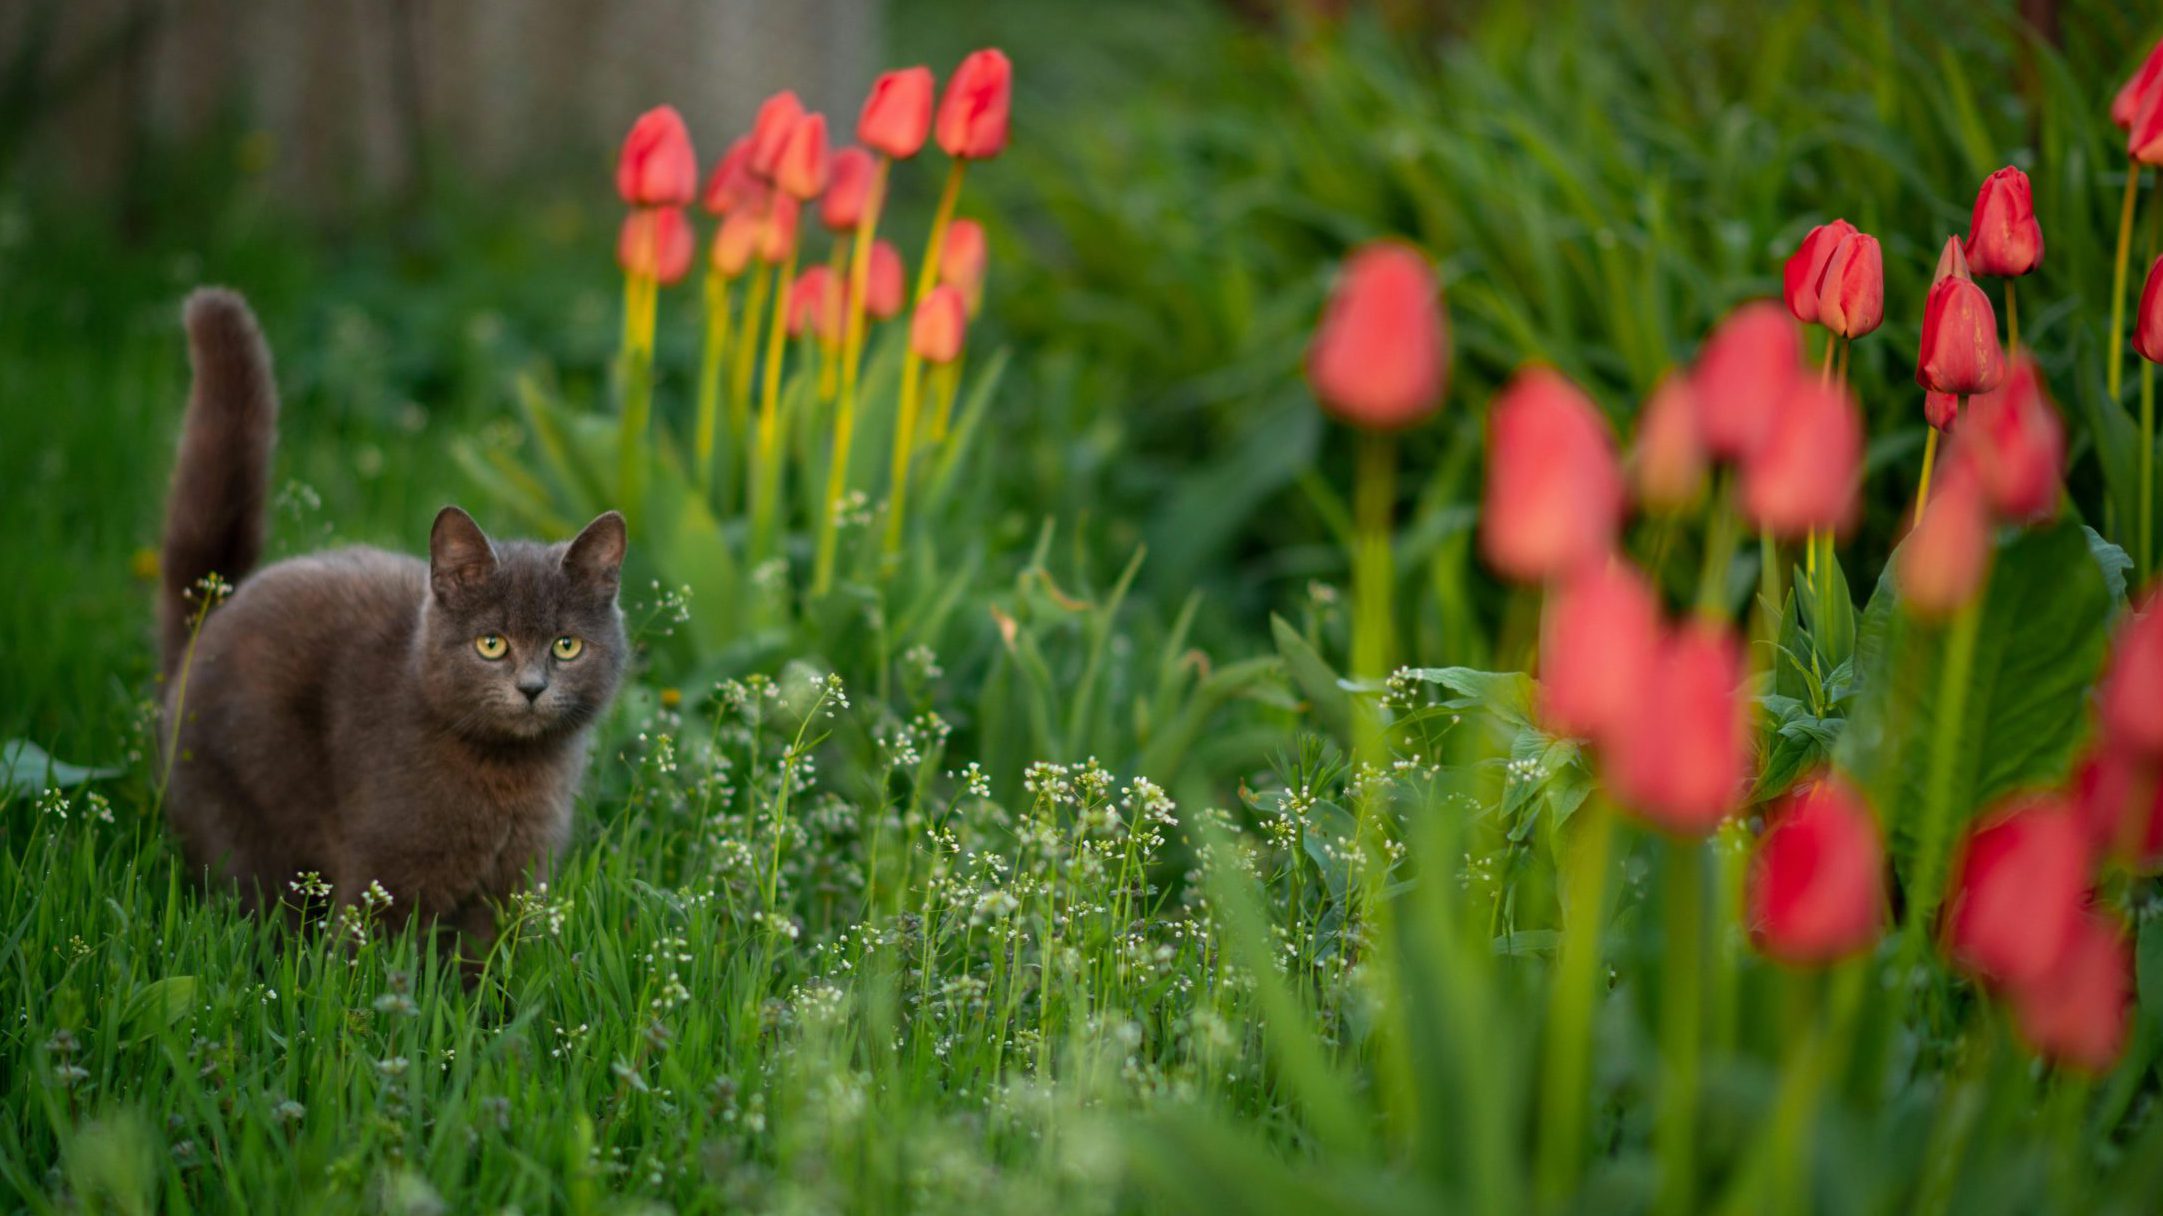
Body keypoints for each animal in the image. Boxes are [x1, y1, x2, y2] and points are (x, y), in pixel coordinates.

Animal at [153, 287, 622, 960]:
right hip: (238, 816)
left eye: (566, 645)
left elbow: (491, 961)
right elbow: (365, 963)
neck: (507, 777)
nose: (532, 687)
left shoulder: (517, 878)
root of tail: (208, 621)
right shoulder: (386, 872)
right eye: (491, 643)